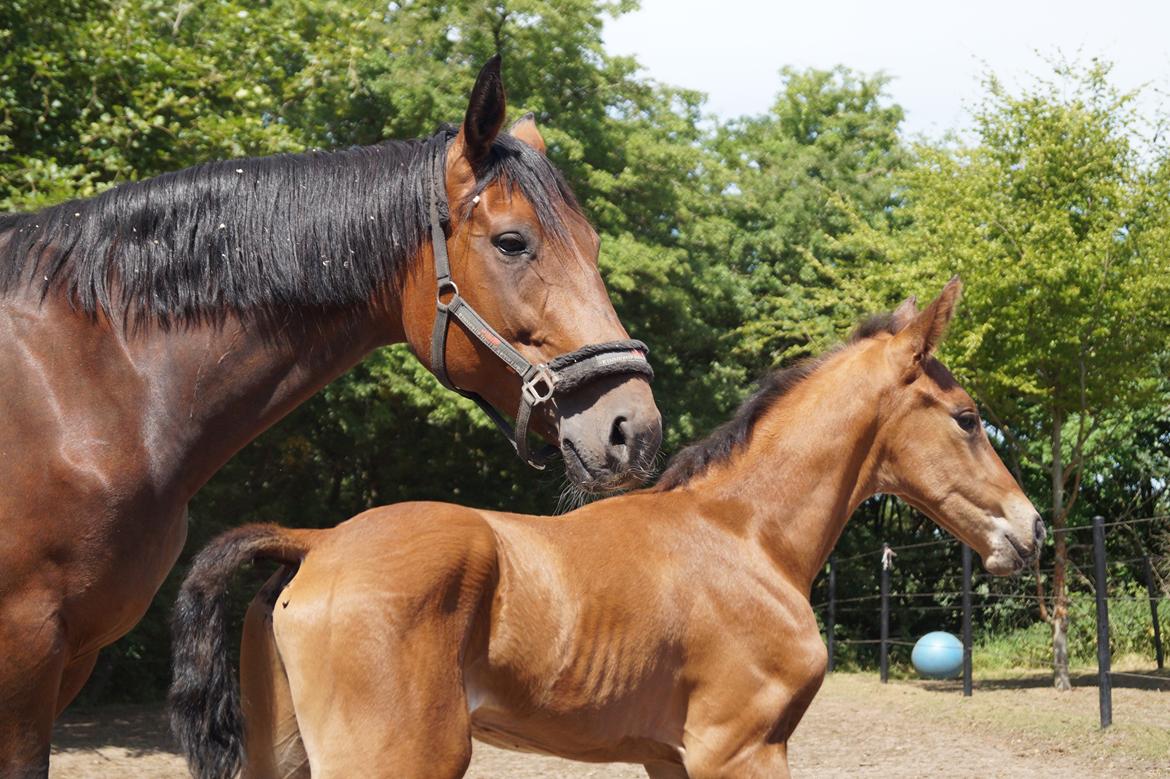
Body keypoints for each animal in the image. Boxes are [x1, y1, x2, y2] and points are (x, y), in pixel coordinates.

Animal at [0, 57, 659, 771]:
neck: (80, 382)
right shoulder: (27, 648)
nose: (635, 429)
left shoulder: (73, 658)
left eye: (594, 245)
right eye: (513, 242)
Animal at [173, 279, 1043, 776]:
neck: (743, 536)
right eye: (968, 418)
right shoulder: (742, 748)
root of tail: (314, 545)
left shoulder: (670, 756)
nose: (1030, 529)